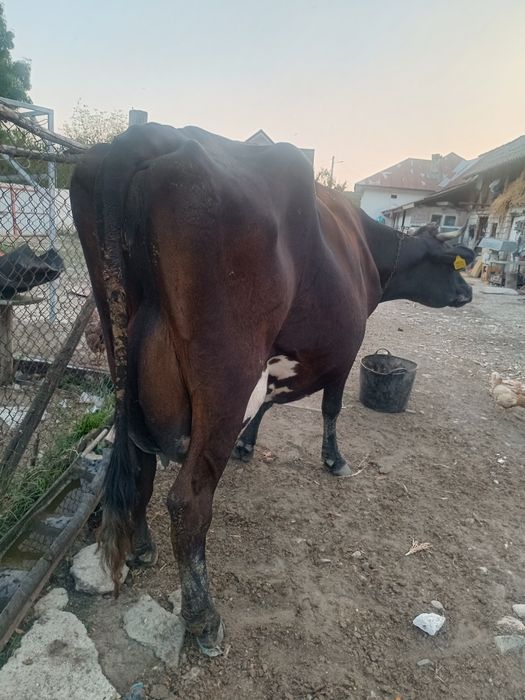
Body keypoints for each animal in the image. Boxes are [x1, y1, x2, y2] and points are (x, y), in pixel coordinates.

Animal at [70, 123, 474, 656]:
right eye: (450, 265)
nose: (469, 293)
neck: (363, 246)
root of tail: (153, 132)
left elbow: (268, 406)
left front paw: (248, 444)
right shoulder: (345, 350)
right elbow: (331, 408)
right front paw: (335, 460)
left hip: (121, 352)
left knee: (139, 462)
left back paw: (142, 548)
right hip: (228, 373)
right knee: (188, 502)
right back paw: (203, 619)